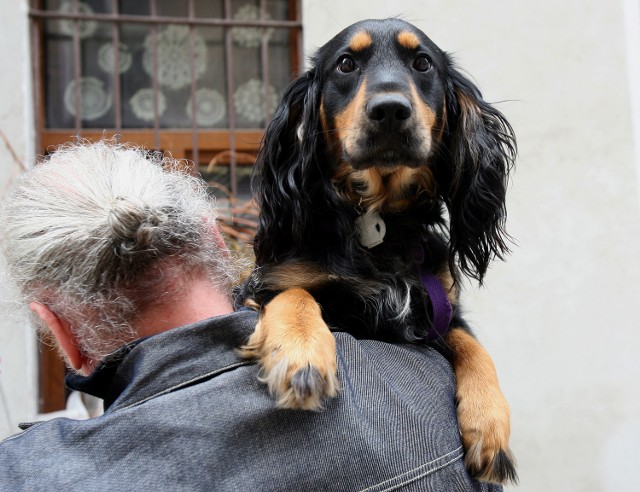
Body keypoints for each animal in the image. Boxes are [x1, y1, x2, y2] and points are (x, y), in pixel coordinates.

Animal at [238, 19, 516, 484]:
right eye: (346, 64)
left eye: (422, 63)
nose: (390, 110)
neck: (377, 220)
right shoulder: (269, 282)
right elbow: (295, 294)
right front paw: (301, 357)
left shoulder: (439, 311)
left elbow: (475, 347)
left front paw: (491, 428)